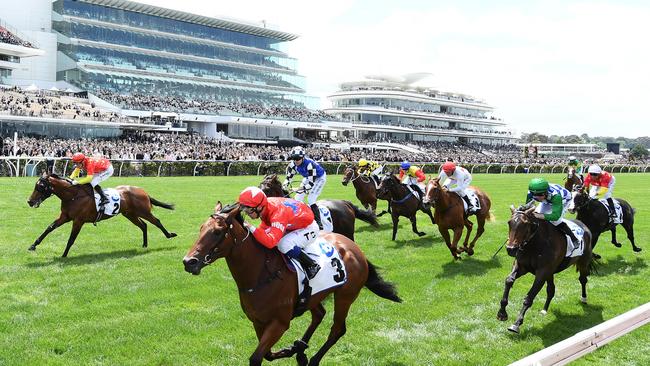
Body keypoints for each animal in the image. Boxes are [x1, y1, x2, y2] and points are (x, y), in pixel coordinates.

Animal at [27, 172, 176, 256]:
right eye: (36, 185)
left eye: (40, 186)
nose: (30, 201)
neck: (73, 196)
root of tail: (144, 191)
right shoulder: (65, 217)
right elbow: (49, 228)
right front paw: (33, 245)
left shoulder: (78, 221)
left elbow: (71, 239)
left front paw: (64, 255)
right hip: (130, 214)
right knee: (143, 225)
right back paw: (144, 245)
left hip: (143, 211)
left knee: (156, 221)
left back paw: (169, 235)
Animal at [181, 203, 400, 366]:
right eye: (201, 228)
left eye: (218, 232)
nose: (189, 262)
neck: (261, 275)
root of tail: (355, 248)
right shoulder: (258, 321)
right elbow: (267, 354)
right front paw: (292, 349)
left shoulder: (279, 322)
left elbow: (256, 357)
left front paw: (294, 350)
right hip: (313, 296)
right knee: (319, 314)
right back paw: (301, 349)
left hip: (345, 296)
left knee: (338, 329)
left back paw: (313, 359)